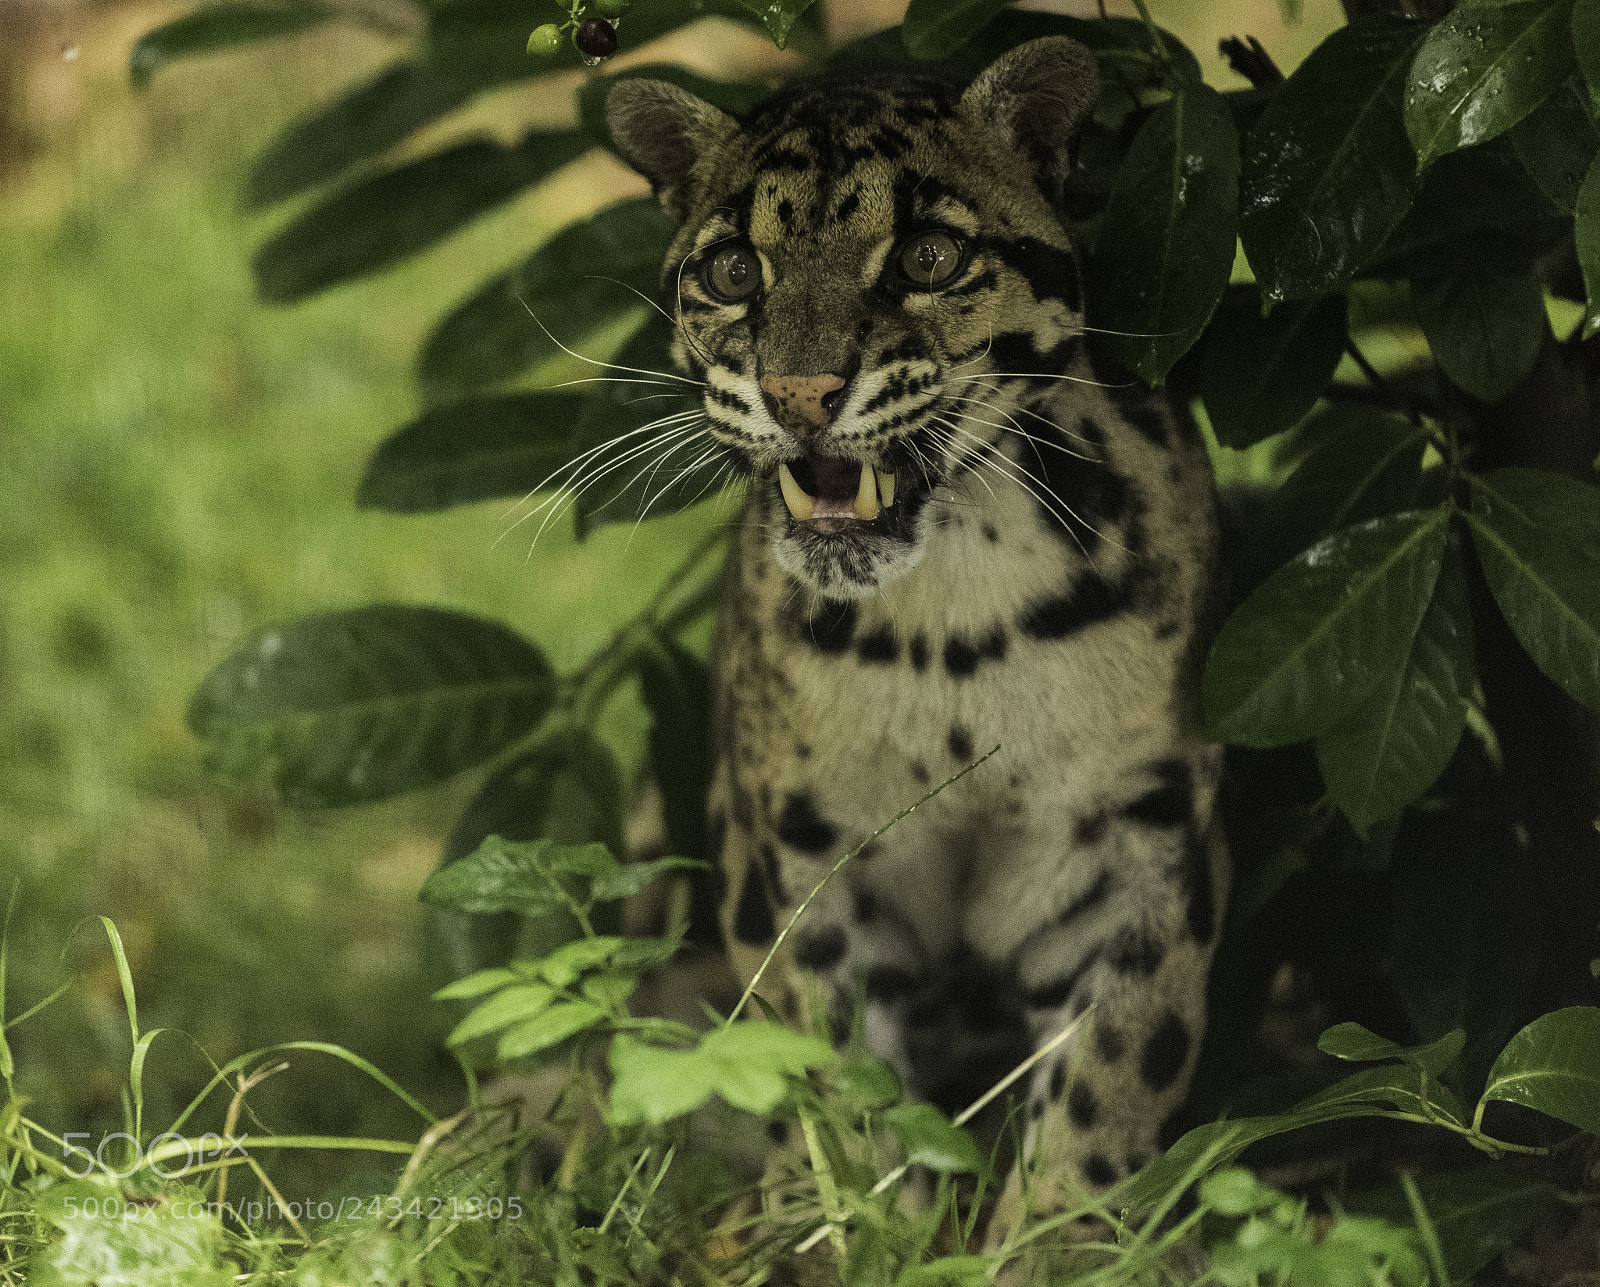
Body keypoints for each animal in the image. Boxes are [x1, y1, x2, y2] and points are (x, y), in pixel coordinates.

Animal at [606, 35, 1228, 1240]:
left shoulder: (1138, 835)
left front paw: (1053, 1238)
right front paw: (859, 1227)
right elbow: (826, 1064)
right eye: (734, 272)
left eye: (929, 257)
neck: (954, 618)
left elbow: (1113, 1073)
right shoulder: (800, 850)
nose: (800, 392)